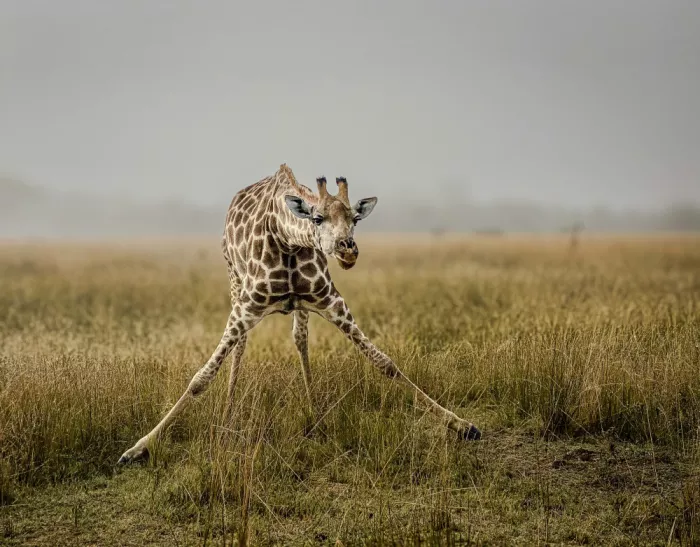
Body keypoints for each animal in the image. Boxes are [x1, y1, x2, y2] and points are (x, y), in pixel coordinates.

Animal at [118, 164, 480, 464]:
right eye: (317, 218)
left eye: (355, 219)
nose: (348, 250)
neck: (287, 240)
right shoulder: (248, 305)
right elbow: (200, 379)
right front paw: (137, 448)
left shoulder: (331, 300)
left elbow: (385, 362)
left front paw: (462, 425)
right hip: (234, 283)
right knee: (241, 347)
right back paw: (230, 414)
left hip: (301, 307)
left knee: (300, 340)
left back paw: (314, 413)